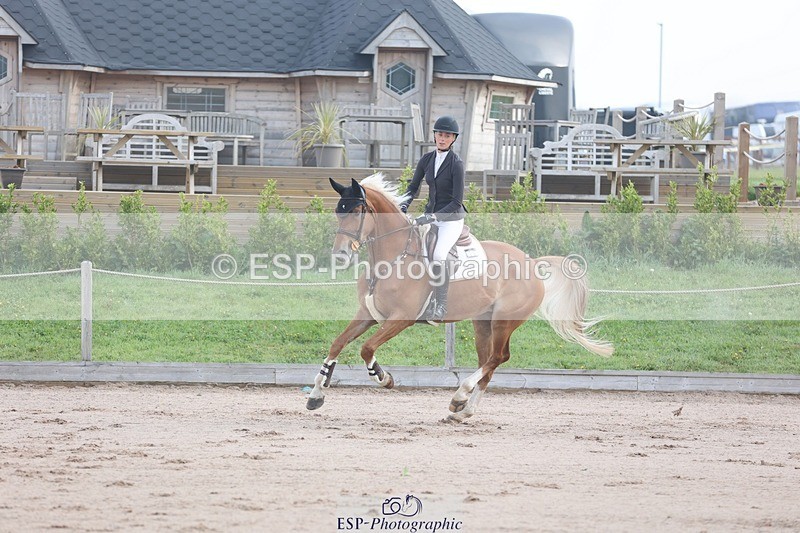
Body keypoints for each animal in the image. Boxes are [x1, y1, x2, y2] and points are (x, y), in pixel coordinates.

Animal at [306, 173, 613, 422]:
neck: (391, 258)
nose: (340, 254)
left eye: (358, 211)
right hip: (483, 322)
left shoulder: (401, 318)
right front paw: (316, 395)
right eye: (338, 212)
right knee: (488, 362)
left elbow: (366, 348)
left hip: (504, 321)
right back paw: (462, 411)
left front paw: (383, 378)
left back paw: (460, 396)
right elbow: (337, 344)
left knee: (498, 357)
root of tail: (533, 263)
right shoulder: (368, 314)